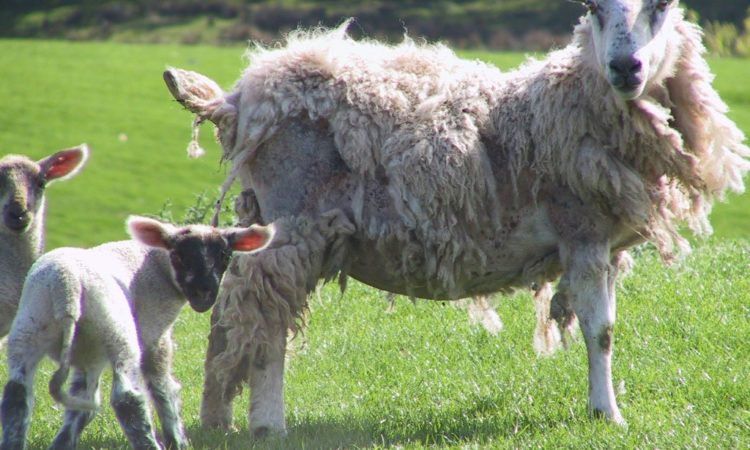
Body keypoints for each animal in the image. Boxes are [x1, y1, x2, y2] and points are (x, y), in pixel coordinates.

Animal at [0, 216, 273, 450]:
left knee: (17, 395)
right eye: (179, 255)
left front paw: (64, 442)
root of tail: (66, 288)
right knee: (127, 399)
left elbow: (81, 400)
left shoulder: (88, 354)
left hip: (29, 328)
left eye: (224, 255)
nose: (203, 293)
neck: (156, 264)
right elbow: (162, 387)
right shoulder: (153, 332)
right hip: (117, 332)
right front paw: (177, 439)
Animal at [163, 0, 750, 434]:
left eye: (661, 6)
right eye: (593, 8)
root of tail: (239, 97)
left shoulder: (600, 244)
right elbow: (600, 331)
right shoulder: (581, 233)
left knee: (229, 320)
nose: (626, 68)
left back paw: (217, 421)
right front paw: (607, 415)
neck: (572, 101)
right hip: (292, 224)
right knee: (263, 320)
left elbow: (602, 328)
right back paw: (267, 424)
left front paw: (602, 407)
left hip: (262, 217)